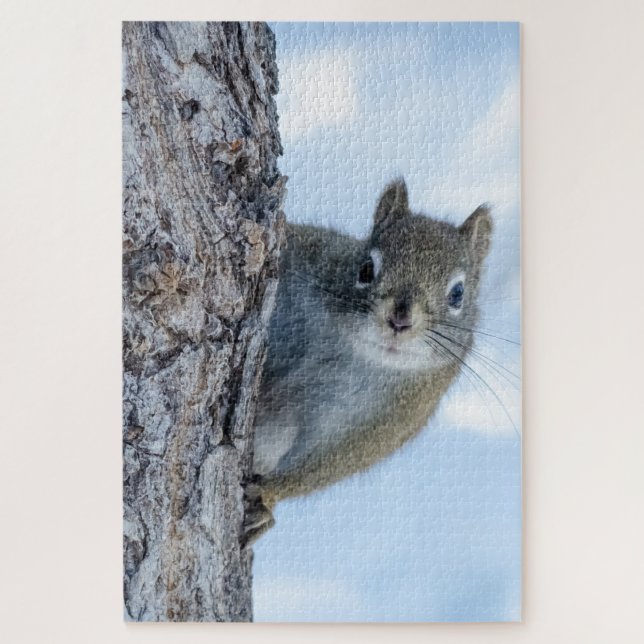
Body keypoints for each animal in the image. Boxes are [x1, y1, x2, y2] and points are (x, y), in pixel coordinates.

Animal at [244, 178, 493, 545]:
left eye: (458, 294)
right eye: (365, 269)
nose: (400, 320)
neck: (356, 354)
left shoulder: (383, 425)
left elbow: (325, 467)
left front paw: (268, 496)